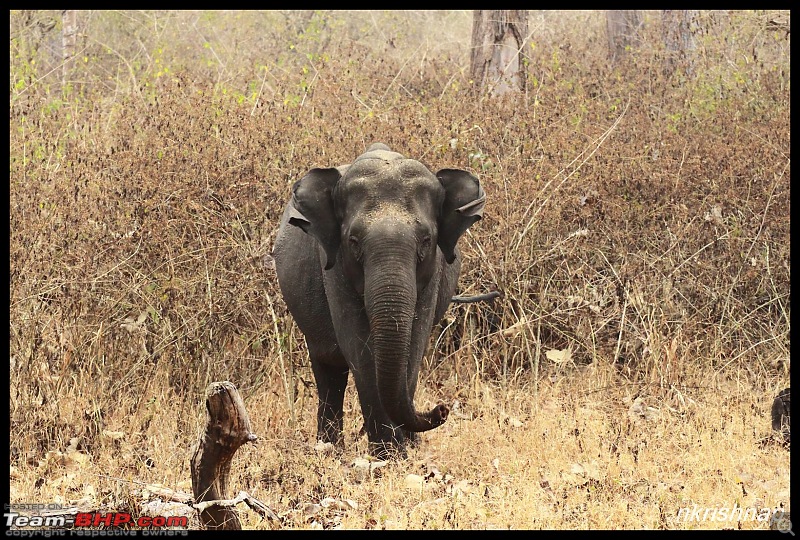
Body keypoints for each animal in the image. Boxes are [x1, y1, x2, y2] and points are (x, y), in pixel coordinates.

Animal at [270, 141, 488, 458]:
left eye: (426, 240)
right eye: (353, 241)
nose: (442, 409)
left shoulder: (433, 274)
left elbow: (414, 344)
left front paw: (403, 450)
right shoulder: (333, 266)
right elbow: (358, 346)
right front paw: (389, 455)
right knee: (328, 369)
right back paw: (330, 449)